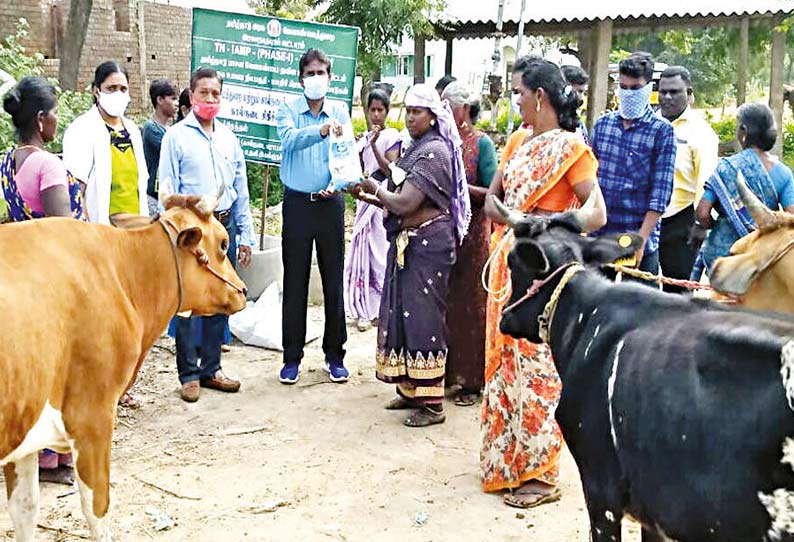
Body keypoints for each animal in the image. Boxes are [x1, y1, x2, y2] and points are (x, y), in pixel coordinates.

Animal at [0, 190, 244, 540]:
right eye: (224, 244)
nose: (243, 291)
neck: (121, 272)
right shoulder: (93, 416)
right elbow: (98, 509)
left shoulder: (25, 435)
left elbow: (24, 508)